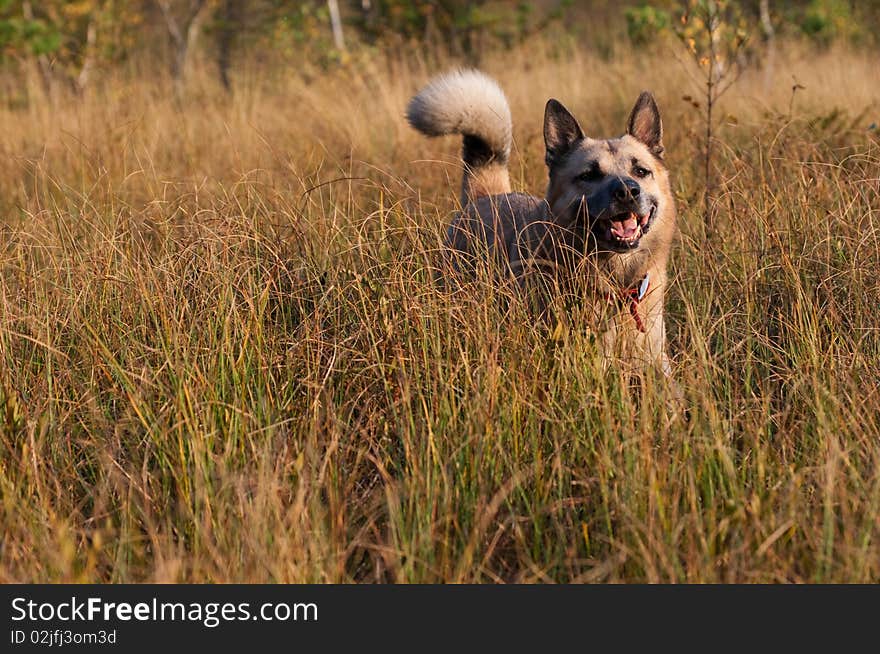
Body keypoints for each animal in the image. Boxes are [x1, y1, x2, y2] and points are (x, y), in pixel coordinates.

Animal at [408, 69, 680, 382]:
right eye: (589, 175)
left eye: (641, 171)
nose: (627, 191)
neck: (615, 282)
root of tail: (487, 196)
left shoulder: (655, 364)